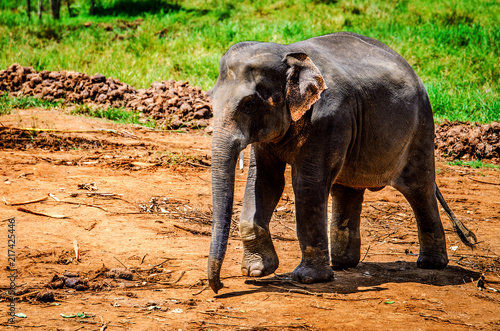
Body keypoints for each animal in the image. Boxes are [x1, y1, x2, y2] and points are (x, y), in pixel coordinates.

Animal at [207, 32, 476, 294]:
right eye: (210, 100)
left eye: (250, 105)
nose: (219, 286)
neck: (289, 53)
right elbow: (264, 181)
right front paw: (257, 271)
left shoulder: (329, 119)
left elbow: (307, 184)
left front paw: (308, 279)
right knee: (347, 189)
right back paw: (343, 264)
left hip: (421, 128)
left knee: (419, 188)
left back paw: (431, 264)